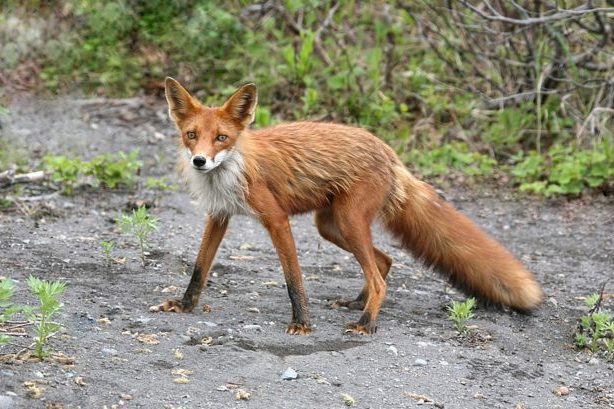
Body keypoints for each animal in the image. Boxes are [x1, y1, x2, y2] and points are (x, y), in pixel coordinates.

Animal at [154, 76, 544, 334]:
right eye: (191, 135)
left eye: (222, 137)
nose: (200, 161)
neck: (232, 170)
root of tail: (389, 153)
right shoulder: (219, 215)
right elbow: (199, 268)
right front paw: (185, 305)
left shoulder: (276, 219)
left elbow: (293, 278)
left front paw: (302, 323)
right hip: (331, 226)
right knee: (383, 262)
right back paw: (358, 304)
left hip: (348, 220)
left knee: (379, 277)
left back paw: (366, 322)